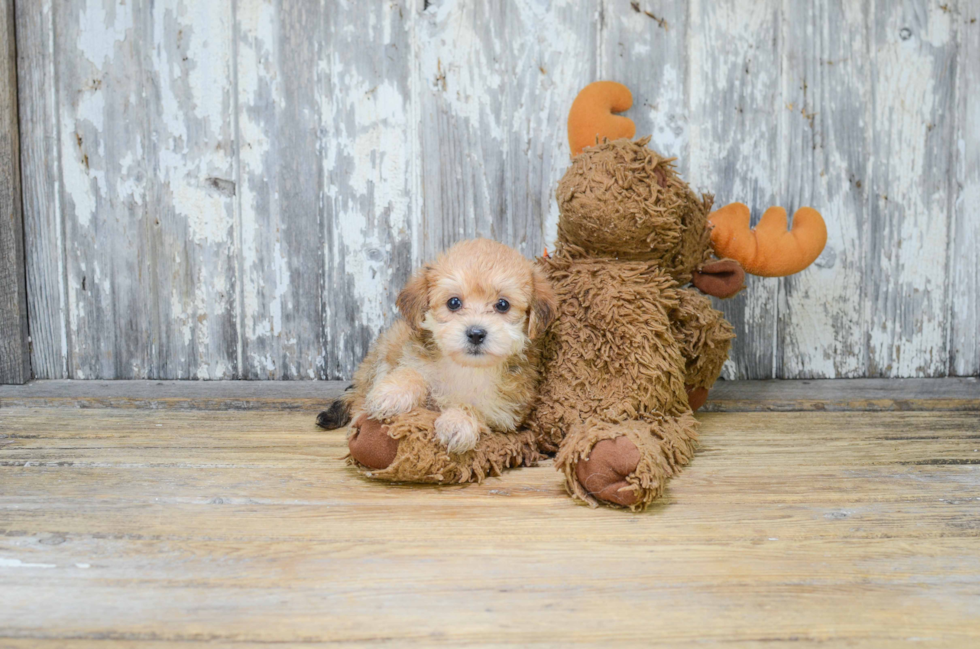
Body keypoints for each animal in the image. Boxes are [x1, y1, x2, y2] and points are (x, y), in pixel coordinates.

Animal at [318, 239, 556, 456]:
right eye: (454, 303)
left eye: (503, 305)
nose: (476, 334)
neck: (467, 368)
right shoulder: (414, 356)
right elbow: (412, 372)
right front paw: (392, 393)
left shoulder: (505, 410)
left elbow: (476, 408)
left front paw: (457, 422)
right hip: (386, 347)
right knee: (361, 395)